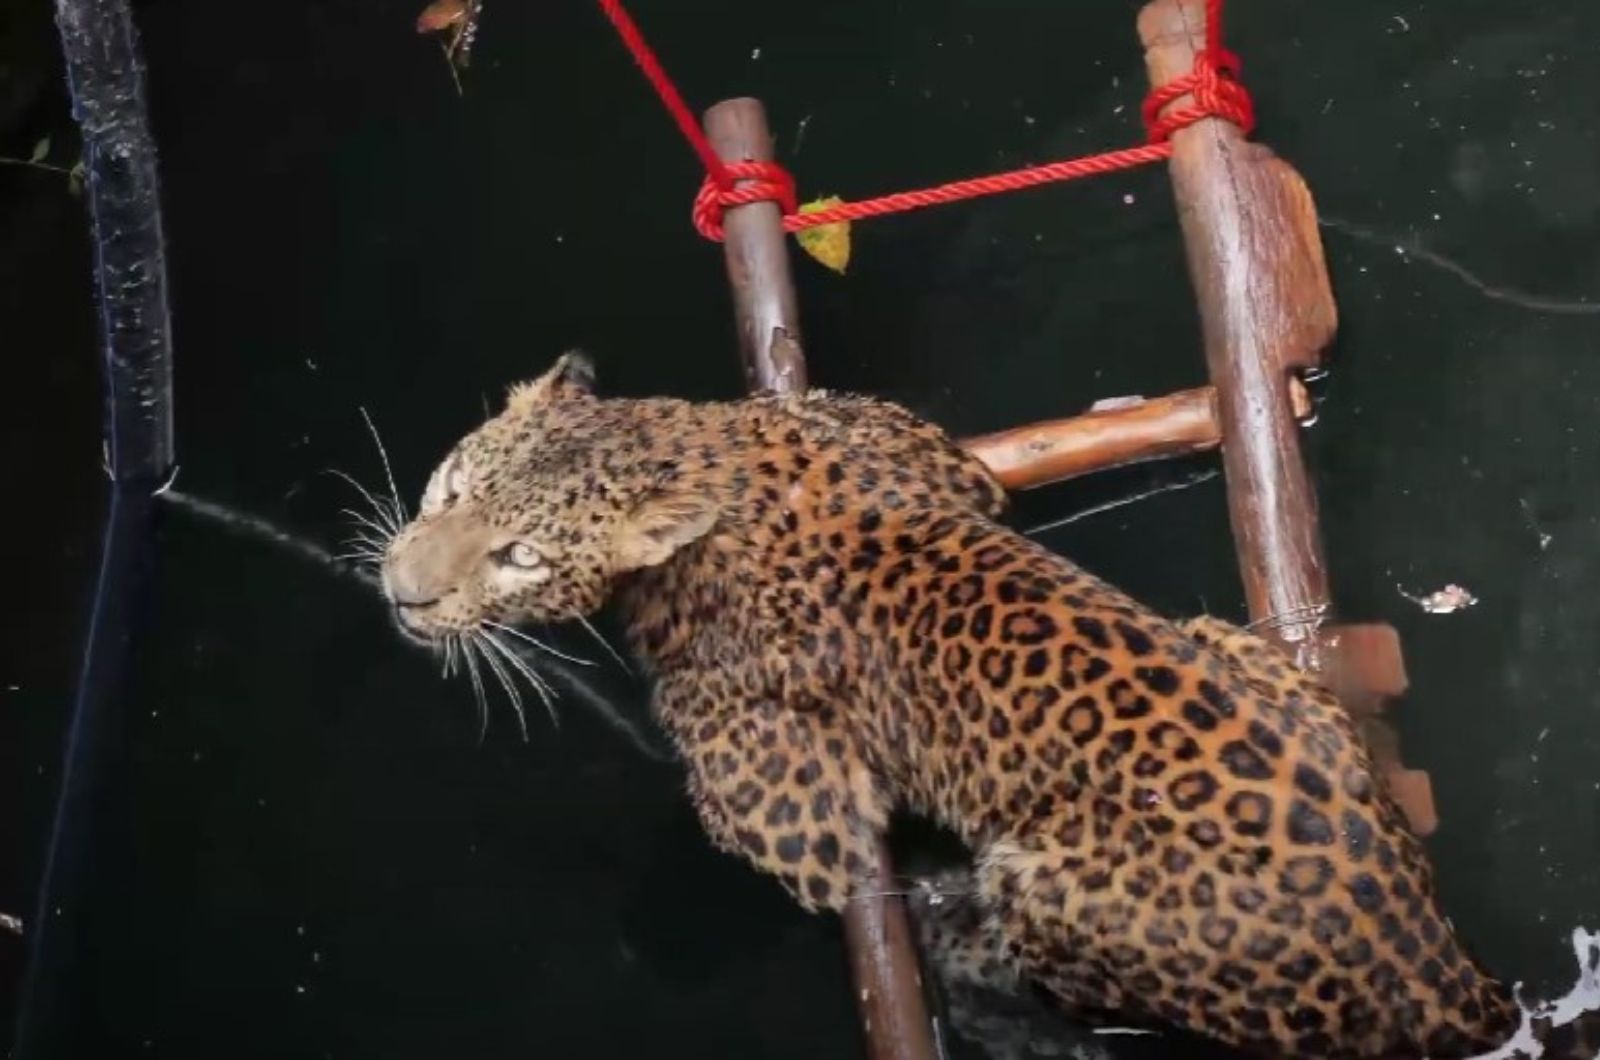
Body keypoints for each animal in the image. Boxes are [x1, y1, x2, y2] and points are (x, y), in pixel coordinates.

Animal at [377, 355, 1600, 1060]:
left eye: (522, 556)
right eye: (449, 487)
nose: (401, 590)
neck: (707, 453)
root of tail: (1447, 974)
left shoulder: (784, 807)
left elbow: (809, 846)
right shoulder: (921, 448)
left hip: (1054, 891)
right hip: (1231, 639)